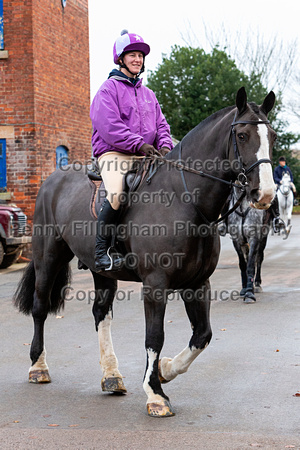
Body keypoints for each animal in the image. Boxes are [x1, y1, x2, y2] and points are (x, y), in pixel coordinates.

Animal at [13, 89, 276, 418]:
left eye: (273, 136)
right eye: (242, 135)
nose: (265, 194)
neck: (184, 199)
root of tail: (52, 180)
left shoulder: (197, 284)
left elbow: (202, 335)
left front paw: (165, 370)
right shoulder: (155, 284)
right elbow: (155, 337)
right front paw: (155, 395)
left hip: (102, 271)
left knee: (101, 314)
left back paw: (111, 377)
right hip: (48, 258)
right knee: (39, 308)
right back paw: (38, 367)